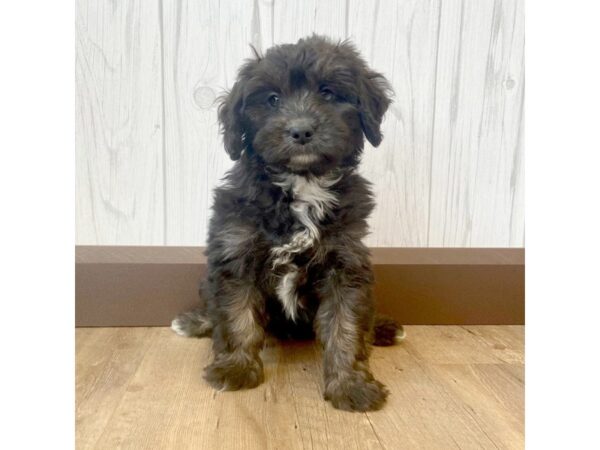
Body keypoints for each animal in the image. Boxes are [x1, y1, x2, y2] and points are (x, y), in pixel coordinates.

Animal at [172, 35, 398, 412]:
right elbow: (236, 316)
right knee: (212, 307)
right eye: (272, 99)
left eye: (328, 93)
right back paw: (193, 321)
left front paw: (350, 384)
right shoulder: (235, 253)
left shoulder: (346, 262)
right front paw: (236, 368)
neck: (301, 185)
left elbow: (347, 325)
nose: (301, 130)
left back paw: (382, 328)